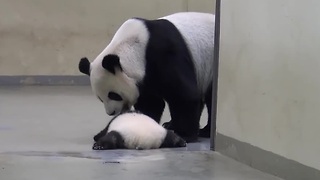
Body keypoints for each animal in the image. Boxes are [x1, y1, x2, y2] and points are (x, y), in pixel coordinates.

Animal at [79, 11, 215, 143]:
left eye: (113, 95)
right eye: (100, 99)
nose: (111, 112)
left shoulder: (165, 54)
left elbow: (184, 94)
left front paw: (185, 135)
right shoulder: (145, 78)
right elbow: (151, 102)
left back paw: (205, 131)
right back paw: (170, 124)